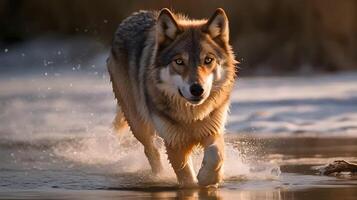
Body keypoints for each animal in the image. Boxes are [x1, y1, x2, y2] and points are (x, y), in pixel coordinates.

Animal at [107, 7, 238, 186]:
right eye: (179, 61)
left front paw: (207, 178)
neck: (192, 116)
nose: (197, 89)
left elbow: (216, 155)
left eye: (208, 60)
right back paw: (158, 175)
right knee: (151, 150)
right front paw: (196, 183)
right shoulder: (174, 142)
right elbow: (186, 177)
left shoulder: (213, 130)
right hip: (138, 124)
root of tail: (133, 16)